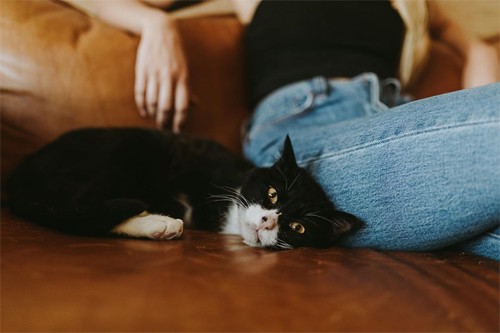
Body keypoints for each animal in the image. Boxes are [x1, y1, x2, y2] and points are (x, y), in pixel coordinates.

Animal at [6, 128, 360, 248]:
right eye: (273, 193)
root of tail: (19, 172)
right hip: (117, 156)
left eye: (297, 227)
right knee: (84, 211)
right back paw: (159, 222)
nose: (266, 221)